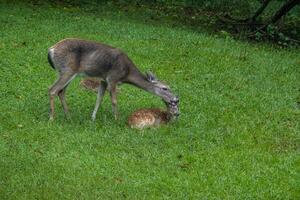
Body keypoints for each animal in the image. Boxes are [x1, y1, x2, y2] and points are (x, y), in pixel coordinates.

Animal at [47, 38, 178, 120]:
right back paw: (52, 118)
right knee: (52, 89)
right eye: (165, 88)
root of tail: (51, 50)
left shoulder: (103, 79)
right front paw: (116, 119)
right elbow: (114, 100)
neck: (126, 73)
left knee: (61, 91)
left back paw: (68, 116)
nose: (176, 99)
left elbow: (99, 98)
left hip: (65, 72)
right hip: (67, 70)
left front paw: (93, 118)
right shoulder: (113, 78)